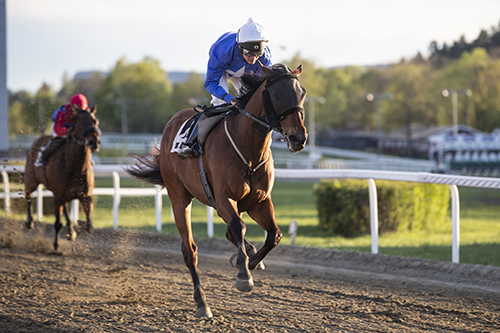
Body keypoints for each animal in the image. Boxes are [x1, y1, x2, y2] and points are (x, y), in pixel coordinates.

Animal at [23, 105, 101, 250]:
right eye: (80, 122)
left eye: (96, 122)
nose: (94, 142)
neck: (75, 168)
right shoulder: (59, 195)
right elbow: (59, 222)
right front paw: (61, 240)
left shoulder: (85, 195)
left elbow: (89, 224)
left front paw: (80, 223)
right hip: (31, 179)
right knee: (28, 196)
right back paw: (29, 223)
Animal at [127, 63, 306, 316]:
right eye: (278, 95)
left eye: (302, 93)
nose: (298, 138)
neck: (249, 150)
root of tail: (171, 123)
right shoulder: (223, 198)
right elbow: (239, 227)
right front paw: (244, 275)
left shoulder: (259, 201)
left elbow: (274, 235)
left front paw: (250, 260)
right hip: (179, 198)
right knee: (190, 250)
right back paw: (202, 303)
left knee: (233, 233)